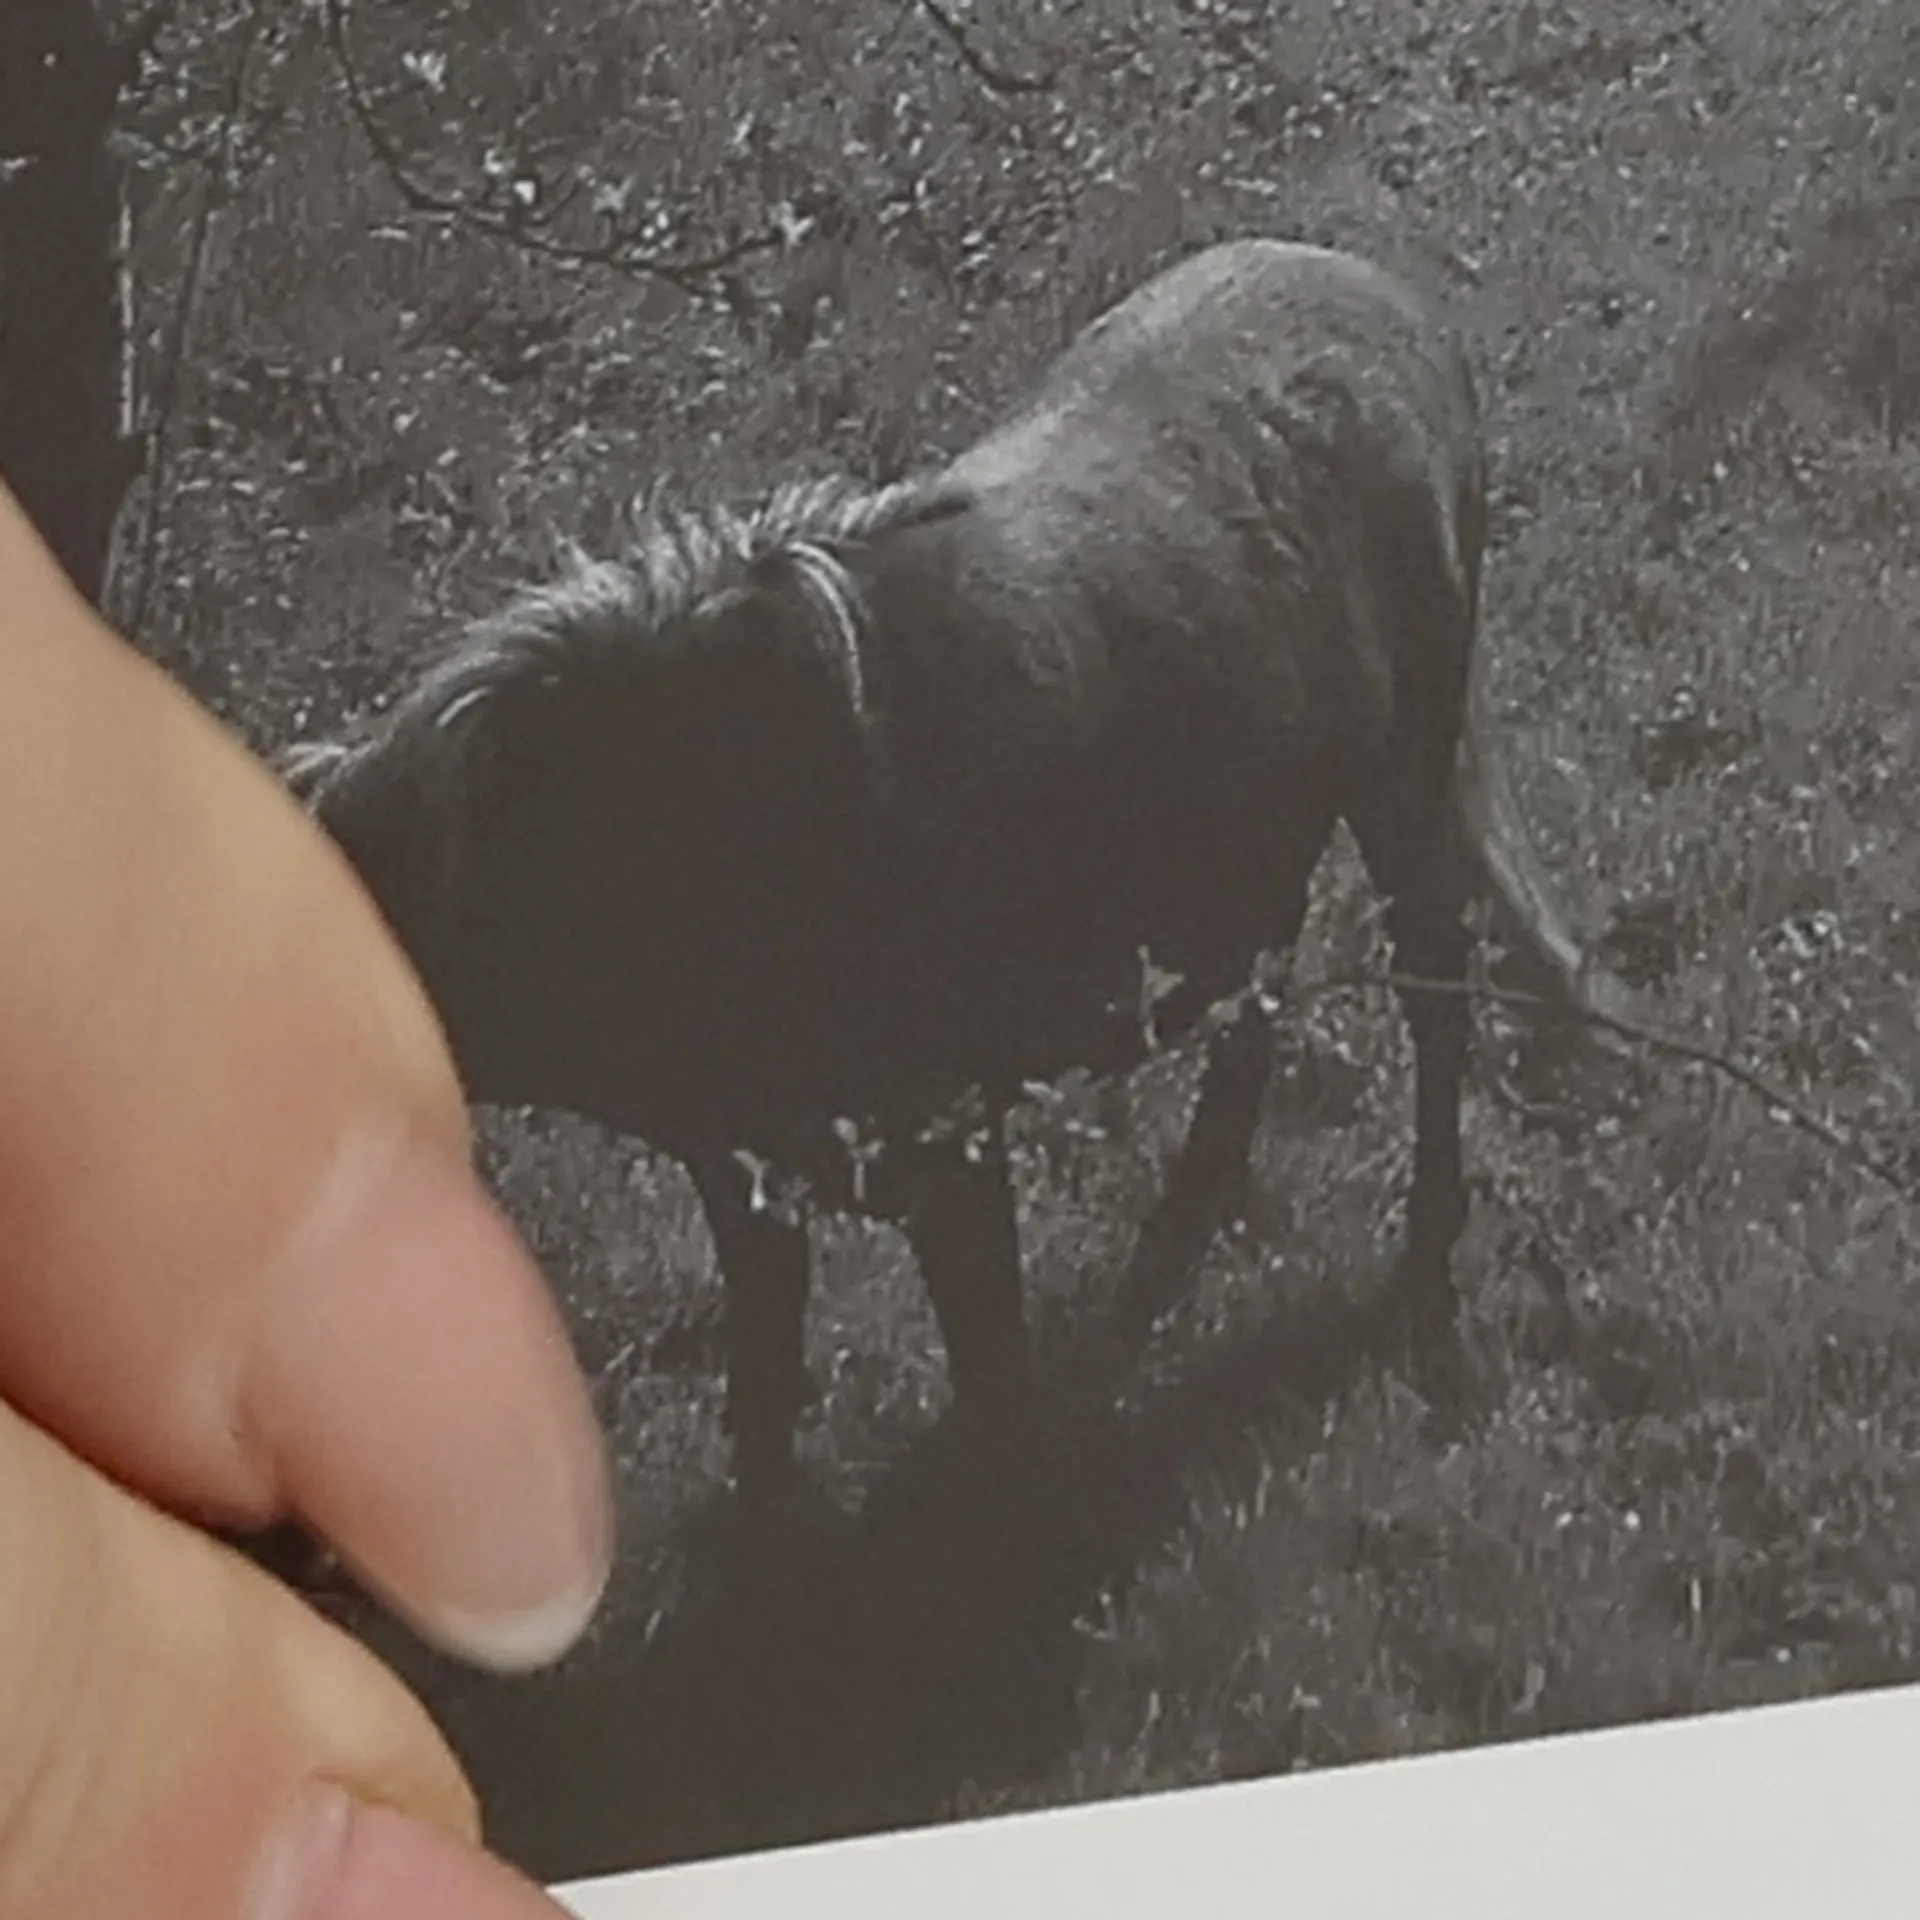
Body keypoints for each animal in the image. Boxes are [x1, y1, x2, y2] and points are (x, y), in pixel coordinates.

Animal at [283, 237, 1610, 1501]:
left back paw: (1422, 1248)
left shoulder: (945, 1136)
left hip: (1406, 767)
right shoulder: (737, 1161)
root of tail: (1407, 311)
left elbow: (986, 1364)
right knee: (1264, 985)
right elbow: (766, 1371)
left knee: (1432, 983)